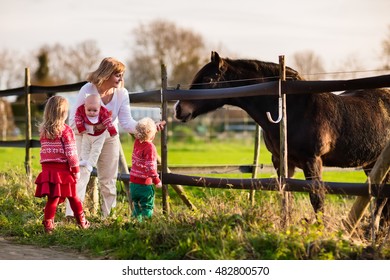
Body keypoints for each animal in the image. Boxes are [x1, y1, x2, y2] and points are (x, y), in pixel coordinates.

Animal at [174, 51, 390, 215]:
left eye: (208, 79)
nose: (178, 108)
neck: (292, 107)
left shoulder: (312, 160)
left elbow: (317, 199)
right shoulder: (282, 160)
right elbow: (286, 195)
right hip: (372, 163)